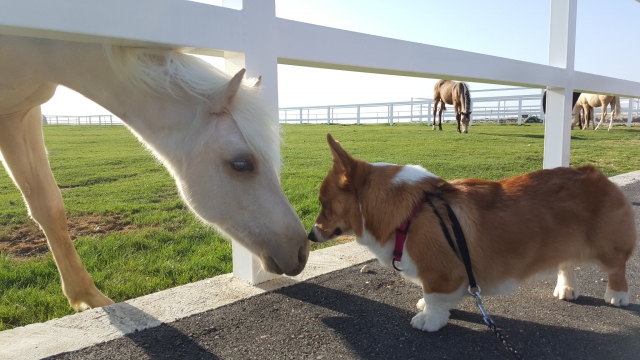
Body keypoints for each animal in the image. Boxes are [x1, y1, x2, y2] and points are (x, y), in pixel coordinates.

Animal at [0, 33, 310, 310]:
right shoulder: (13, 116)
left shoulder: (21, 112)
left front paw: (86, 297)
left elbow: (49, 206)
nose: (301, 251)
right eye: (241, 164)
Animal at [308, 134, 636, 332]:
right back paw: (566, 289)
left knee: (617, 268)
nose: (310, 236)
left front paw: (428, 319)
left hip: (609, 247)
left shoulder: (442, 274)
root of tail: (597, 174)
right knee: (566, 263)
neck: (410, 211)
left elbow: (435, 298)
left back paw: (617, 296)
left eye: (324, 204)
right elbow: (433, 296)